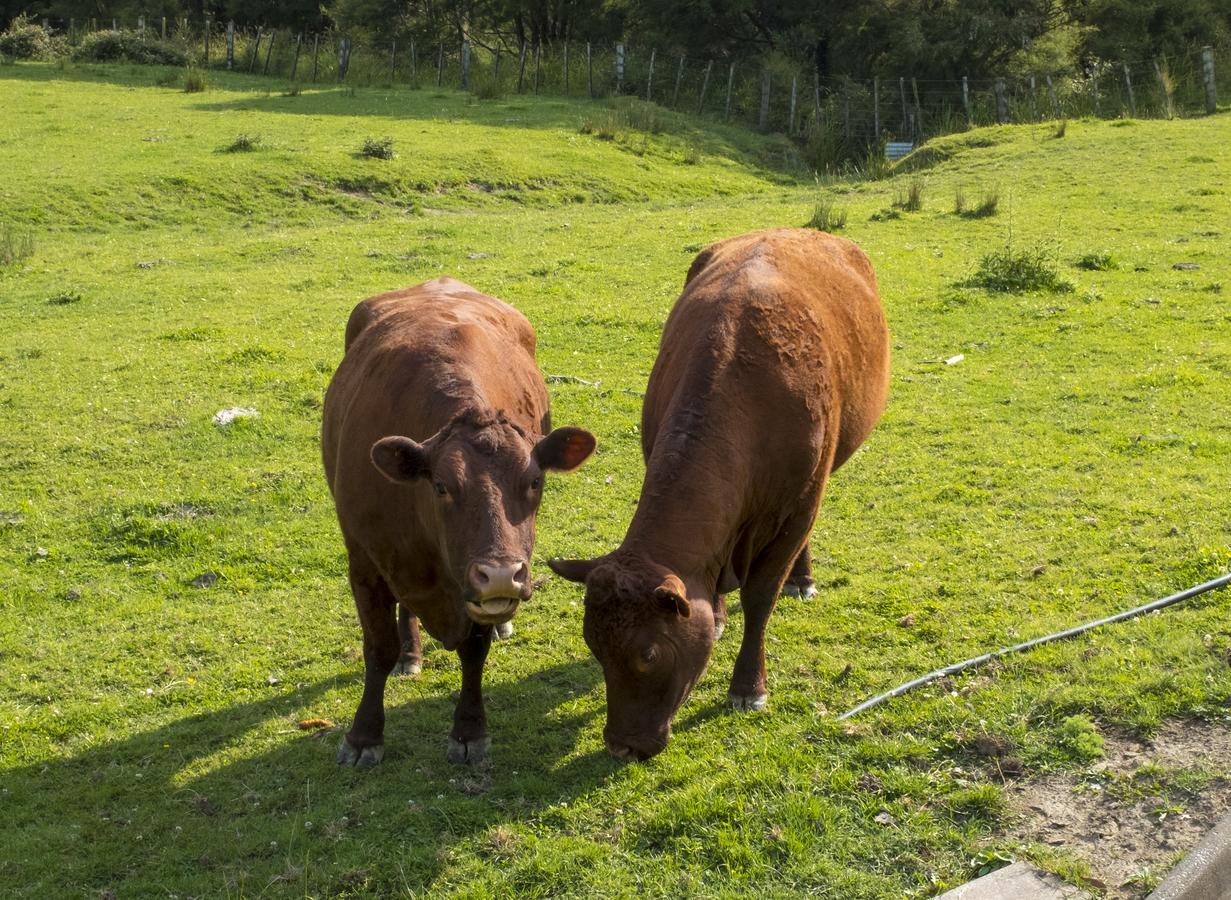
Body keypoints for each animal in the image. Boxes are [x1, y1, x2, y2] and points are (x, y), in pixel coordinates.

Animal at [322, 275, 595, 768]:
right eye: (442, 486)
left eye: (535, 481)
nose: (502, 575)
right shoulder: (365, 560)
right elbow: (377, 648)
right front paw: (364, 734)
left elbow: (474, 650)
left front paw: (470, 729)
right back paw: (410, 653)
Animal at [553, 230, 891, 758]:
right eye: (593, 645)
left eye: (649, 653)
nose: (621, 745)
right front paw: (716, 617)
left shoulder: (797, 505)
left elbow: (761, 596)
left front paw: (749, 687)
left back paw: (803, 577)